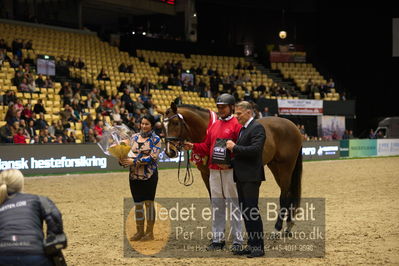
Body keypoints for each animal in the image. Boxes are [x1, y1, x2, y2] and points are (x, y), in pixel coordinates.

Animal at [162, 102, 304, 233]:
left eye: (175, 123)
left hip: (285, 166)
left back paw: (277, 227)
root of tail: (293, 126)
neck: (208, 130)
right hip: (275, 166)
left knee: (284, 194)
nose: (170, 151)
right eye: (162, 126)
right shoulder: (206, 174)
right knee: (289, 192)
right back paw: (288, 225)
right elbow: (215, 201)